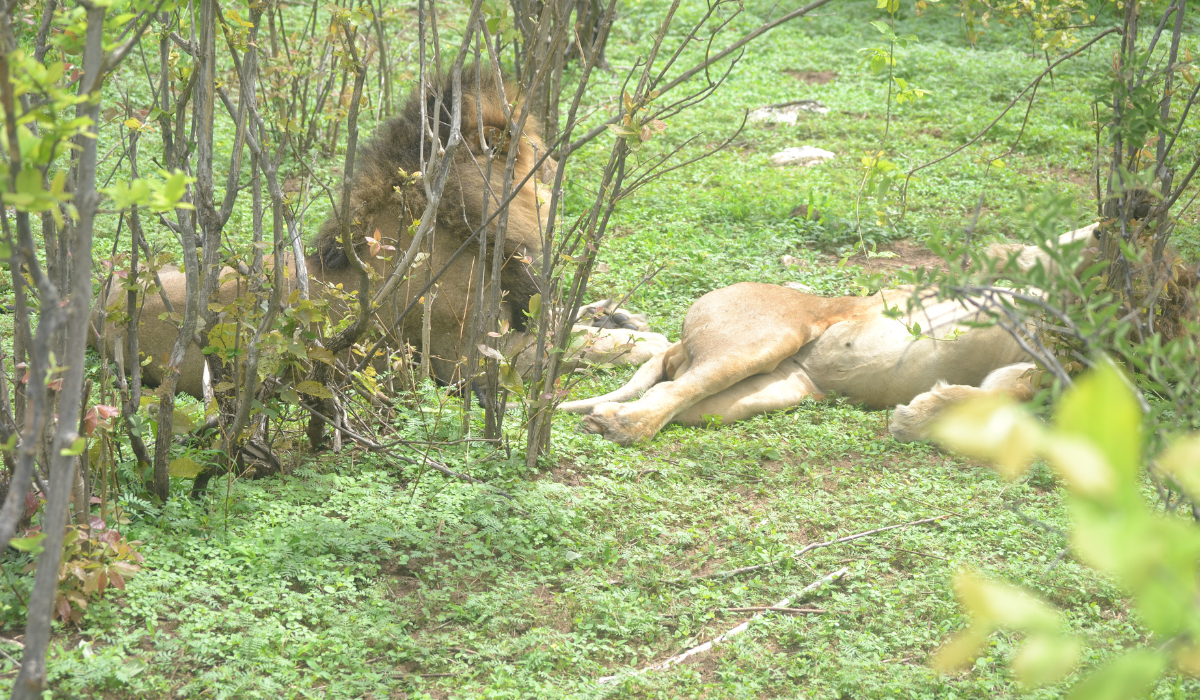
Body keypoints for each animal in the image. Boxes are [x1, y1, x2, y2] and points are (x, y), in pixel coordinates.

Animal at [96, 69, 667, 399]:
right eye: (540, 153)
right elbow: (577, 341)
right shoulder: (470, 364)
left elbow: (574, 317)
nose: (554, 172)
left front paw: (621, 316)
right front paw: (643, 341)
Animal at [560, 224, 1101, 445]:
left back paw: (613, 418)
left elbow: (1011, 394)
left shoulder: (1032, 367)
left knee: (676, 394)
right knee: (671, 391)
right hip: (766, 338)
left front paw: (919, 417)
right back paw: (620, 426)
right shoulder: (1019, 267)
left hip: (770, 393)